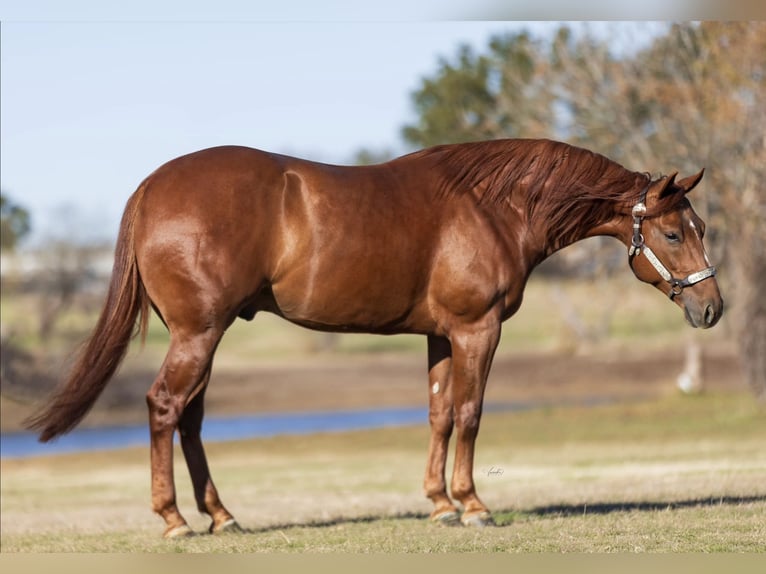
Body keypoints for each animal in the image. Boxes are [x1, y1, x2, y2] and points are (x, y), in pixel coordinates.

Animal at [26, 138, 723, 537]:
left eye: (700, 228)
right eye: (671, 234)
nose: (712, 307)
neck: (490, 205)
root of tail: (151, 187)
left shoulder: (441, 336)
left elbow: (440, 414)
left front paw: (439, 504)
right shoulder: (478, 330)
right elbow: (471, 414)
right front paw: (473, 505)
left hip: (200, 336)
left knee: (190, 420)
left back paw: (221, 516)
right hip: (199, 334)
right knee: (165, 408)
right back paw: (174, 520)